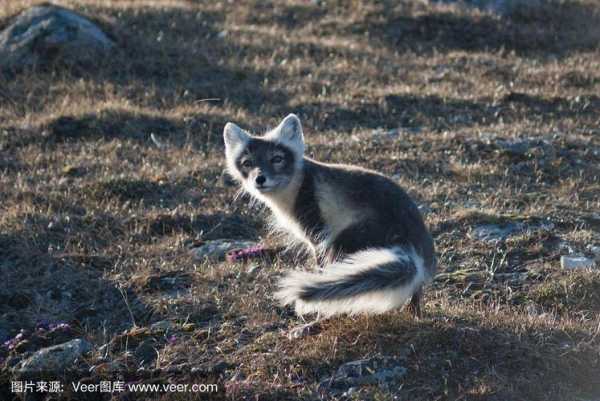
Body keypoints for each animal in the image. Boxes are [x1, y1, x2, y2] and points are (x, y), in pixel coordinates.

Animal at [225, 114, 436, 318]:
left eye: (277, 159)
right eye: (247, 163)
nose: (260, 179)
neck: (297, 185)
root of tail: (413, 247)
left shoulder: (317, 234)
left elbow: (320, 266)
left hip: (344, 239)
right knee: (416, 290)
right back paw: (415, 315)